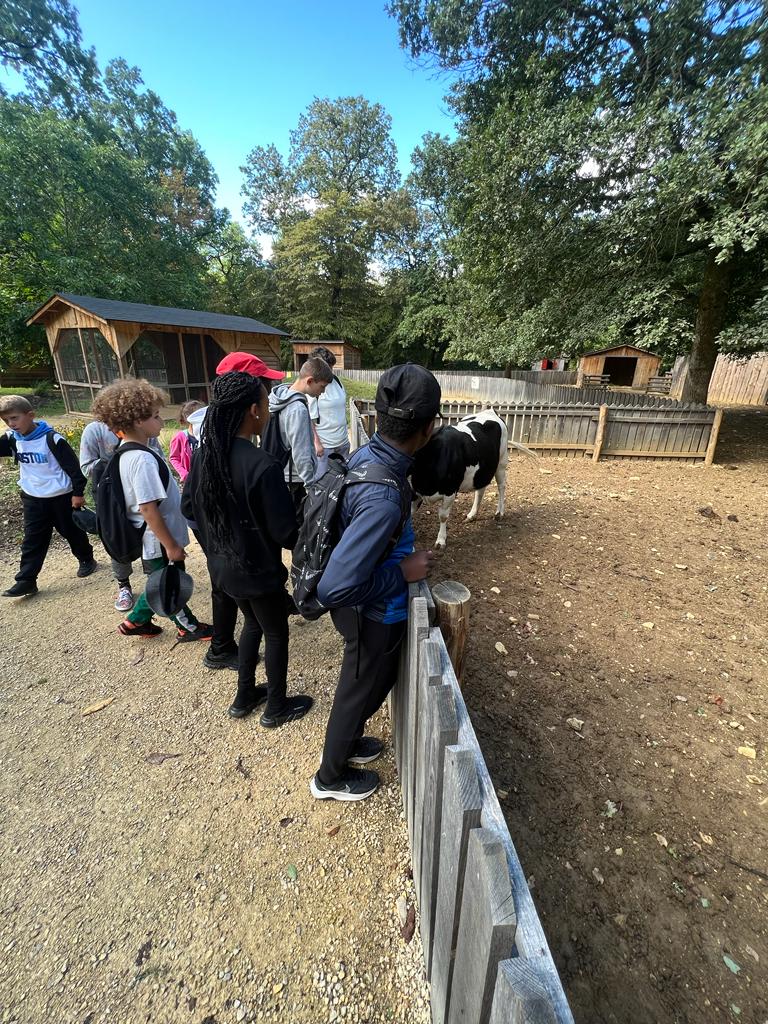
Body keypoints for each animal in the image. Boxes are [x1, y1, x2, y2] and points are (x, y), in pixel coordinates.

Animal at [411, 408, 533, 549]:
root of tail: (491, 410)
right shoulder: (413, 491)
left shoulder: (450, 491)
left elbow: (443, 516)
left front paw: (441, 540)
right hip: (482, 470)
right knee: (480, 490)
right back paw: (472, 515)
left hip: (501, 462)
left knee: (501, 486)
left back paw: (499, 513)